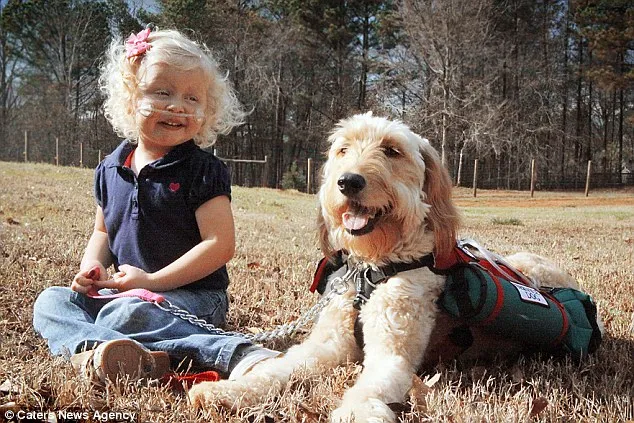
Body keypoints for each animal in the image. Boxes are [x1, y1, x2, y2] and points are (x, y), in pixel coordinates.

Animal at [190, 112, 584, 423]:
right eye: (343, 149)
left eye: (392, 150)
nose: (348, 181)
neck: (372, 268)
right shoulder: (327, 345)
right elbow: (276, 369)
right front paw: (227, 392)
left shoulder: (391, 356)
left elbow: (370, 388)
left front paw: (355, 412)